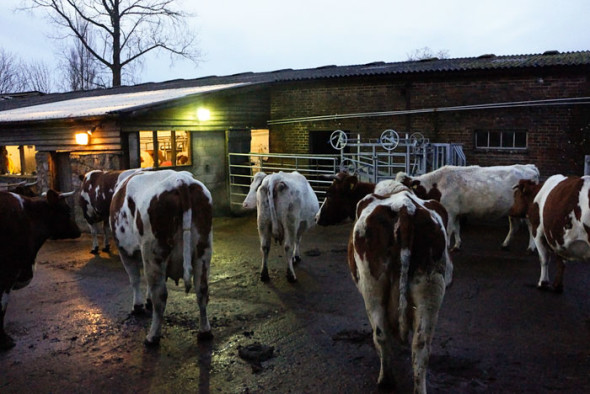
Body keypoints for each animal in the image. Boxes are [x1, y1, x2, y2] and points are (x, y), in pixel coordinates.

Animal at [110, 169, 214, 344]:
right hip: (203, 250)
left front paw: (137, 306)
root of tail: (181, 181)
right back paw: (205, 331)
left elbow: (135, 279)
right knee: (202, 290)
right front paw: (146, 302)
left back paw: (152, 337)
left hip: (154, 253)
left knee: (160, 295)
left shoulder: (125, 250)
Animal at [352, 188, 454, 390]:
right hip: (431, 286)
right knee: (421, 344)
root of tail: (404, 207)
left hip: (371, 285)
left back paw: (385, 379)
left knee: (381, 333)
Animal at [398, 164, 540, 251]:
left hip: (526, 210)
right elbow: (456, 229)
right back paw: (505, 245)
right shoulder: (456, 212)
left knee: (530, 226)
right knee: (514, 226)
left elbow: (448, 230)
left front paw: (447, 246)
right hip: (513, 210)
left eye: (405, 188)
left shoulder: (449, 211)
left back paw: (531, 248)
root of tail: (529, 167)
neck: (438, 185)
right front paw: (457, 245)